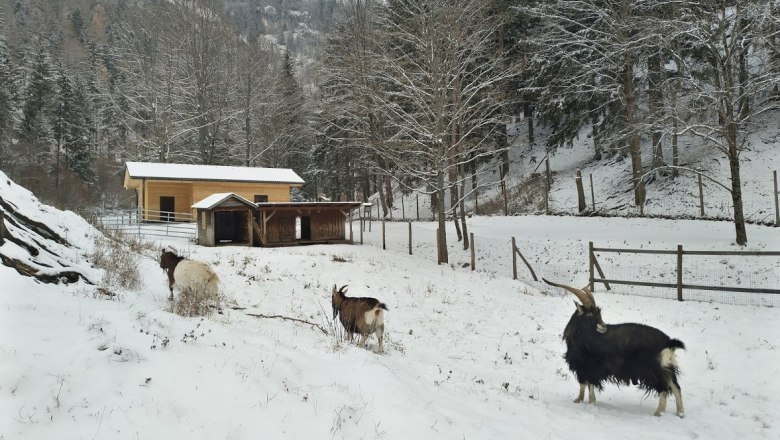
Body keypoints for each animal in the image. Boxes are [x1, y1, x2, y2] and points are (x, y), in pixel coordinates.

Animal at [543, 278, 685, 417]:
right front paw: (581, 400)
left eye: (598, 312)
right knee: (675, 387)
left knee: (664, 389)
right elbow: (585, 385)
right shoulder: (585, 368)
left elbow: (587, 384)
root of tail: (668, 341)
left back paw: (658, 413)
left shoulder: (588, 366)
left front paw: (586, 402)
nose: (603, 326)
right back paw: (680, 413)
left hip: (652, 369)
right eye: (589, 314)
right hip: (666, 367)